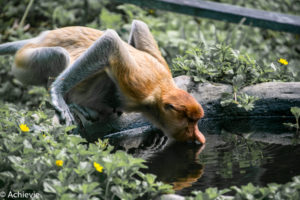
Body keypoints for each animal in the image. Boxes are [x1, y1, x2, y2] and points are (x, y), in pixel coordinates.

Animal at [0, 20, 205, 144]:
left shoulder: (159, 62)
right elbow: (110, 42)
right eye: (190, 121)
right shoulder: (137, 85)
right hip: (27, 62)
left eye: (196, 121)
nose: (199, 136)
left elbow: (140, 25)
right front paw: (57, 95)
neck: (161, 90)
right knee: (61, 56)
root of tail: (37, 39)